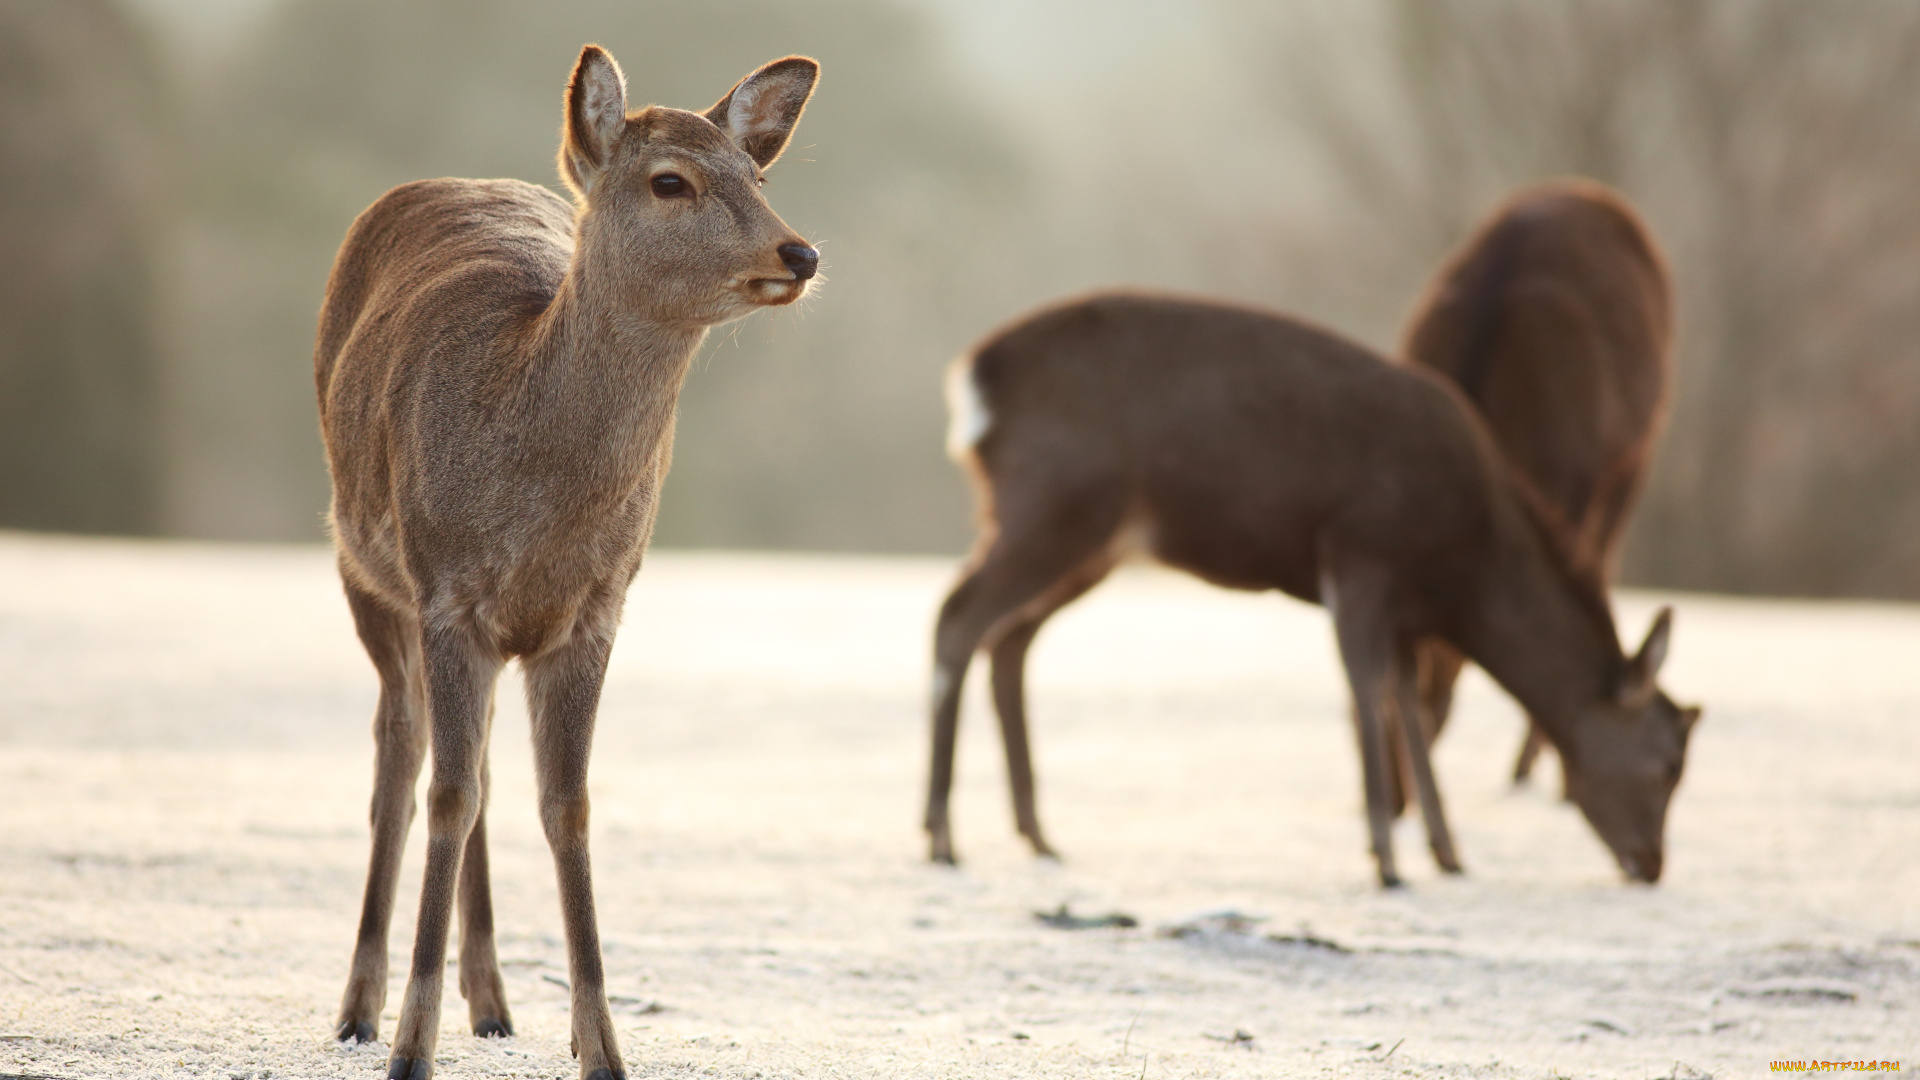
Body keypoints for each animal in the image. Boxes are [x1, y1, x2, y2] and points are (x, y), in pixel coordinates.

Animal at [312, 44, 817, 1076]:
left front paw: (603, 1047)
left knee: (476, 765)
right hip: (361, 565)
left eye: (759, 177)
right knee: (401, 763)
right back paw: (358, 1010)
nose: (800, 254)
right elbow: (446, 795)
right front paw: (411, 1047)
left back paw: (494, 1002)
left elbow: (567, 804)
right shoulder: (448, 595)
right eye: (670, 181)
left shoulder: (597, 608)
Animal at [925, 288, 1697, 883]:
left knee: (1008, 640)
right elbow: (1366, 690)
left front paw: (1447, 853)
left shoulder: (1405, 611)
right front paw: (1386, 860)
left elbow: (1405, 705)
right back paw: (941, 836)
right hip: (1055, 503)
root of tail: (973, 377)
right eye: (1667, 764)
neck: (1464, 568)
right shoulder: (1360, 556)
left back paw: (1036, 833)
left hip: (1088, 541)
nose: (1652, 865)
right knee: (958, 617)